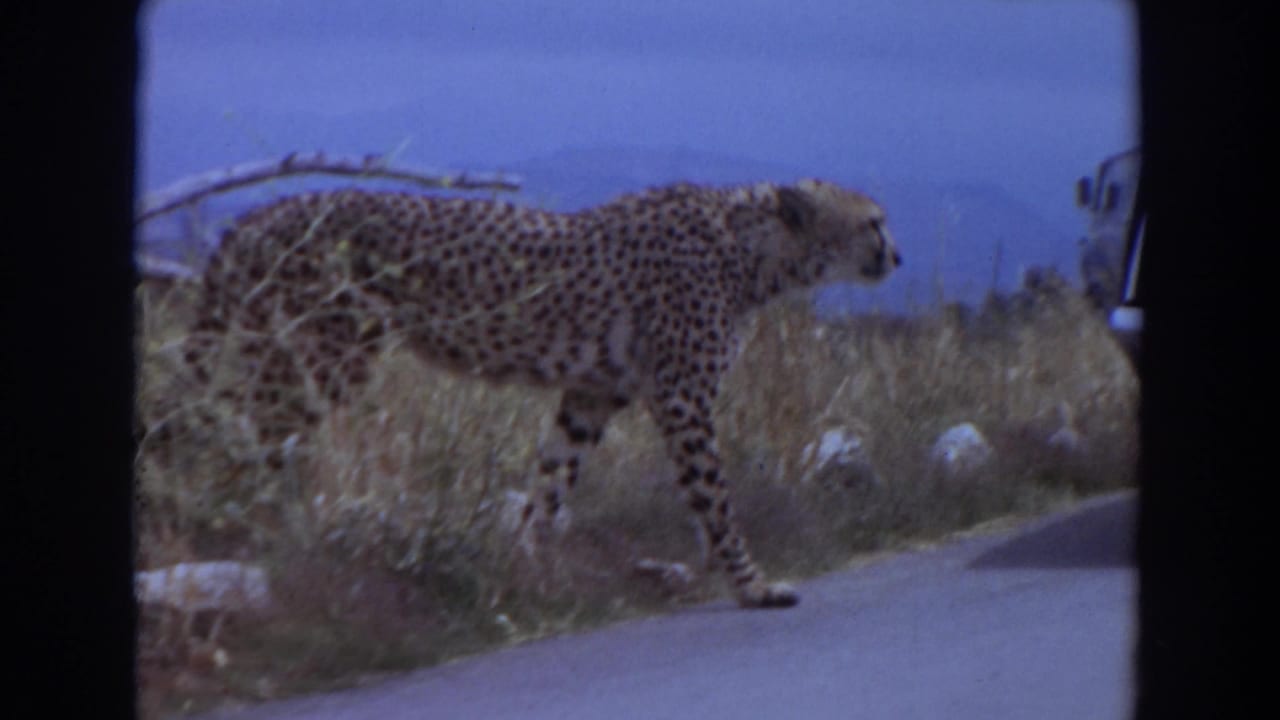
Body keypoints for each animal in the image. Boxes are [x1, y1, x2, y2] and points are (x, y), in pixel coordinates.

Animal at [180, 178, 901, 608]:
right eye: (873, 222)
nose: (898, 256)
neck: (757, 251)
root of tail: (262, 211)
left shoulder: (591, 394)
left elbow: (551, 482)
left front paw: (527, 569)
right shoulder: (681, 400)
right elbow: (715, 499)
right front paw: (751, 584)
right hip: (322, 360)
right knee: (250, 443)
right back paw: (268, 536)